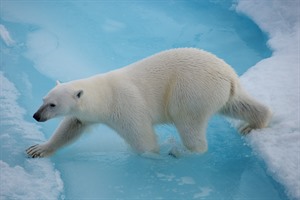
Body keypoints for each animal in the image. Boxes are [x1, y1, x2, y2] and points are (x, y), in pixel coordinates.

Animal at [26, 48, 272, 158]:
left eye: (53, 105)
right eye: (44, 100)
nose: (36, 116)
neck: (105, 96)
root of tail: (229, 76)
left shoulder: (125, 107)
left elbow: (142, 139)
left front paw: (154, 155)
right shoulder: (84, 116)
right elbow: (70, 128)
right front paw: (38, 149)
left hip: (191, 91)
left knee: (189, 126)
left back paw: (181, 152)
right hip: (223, 92)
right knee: (238, 105)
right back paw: (253, 123)